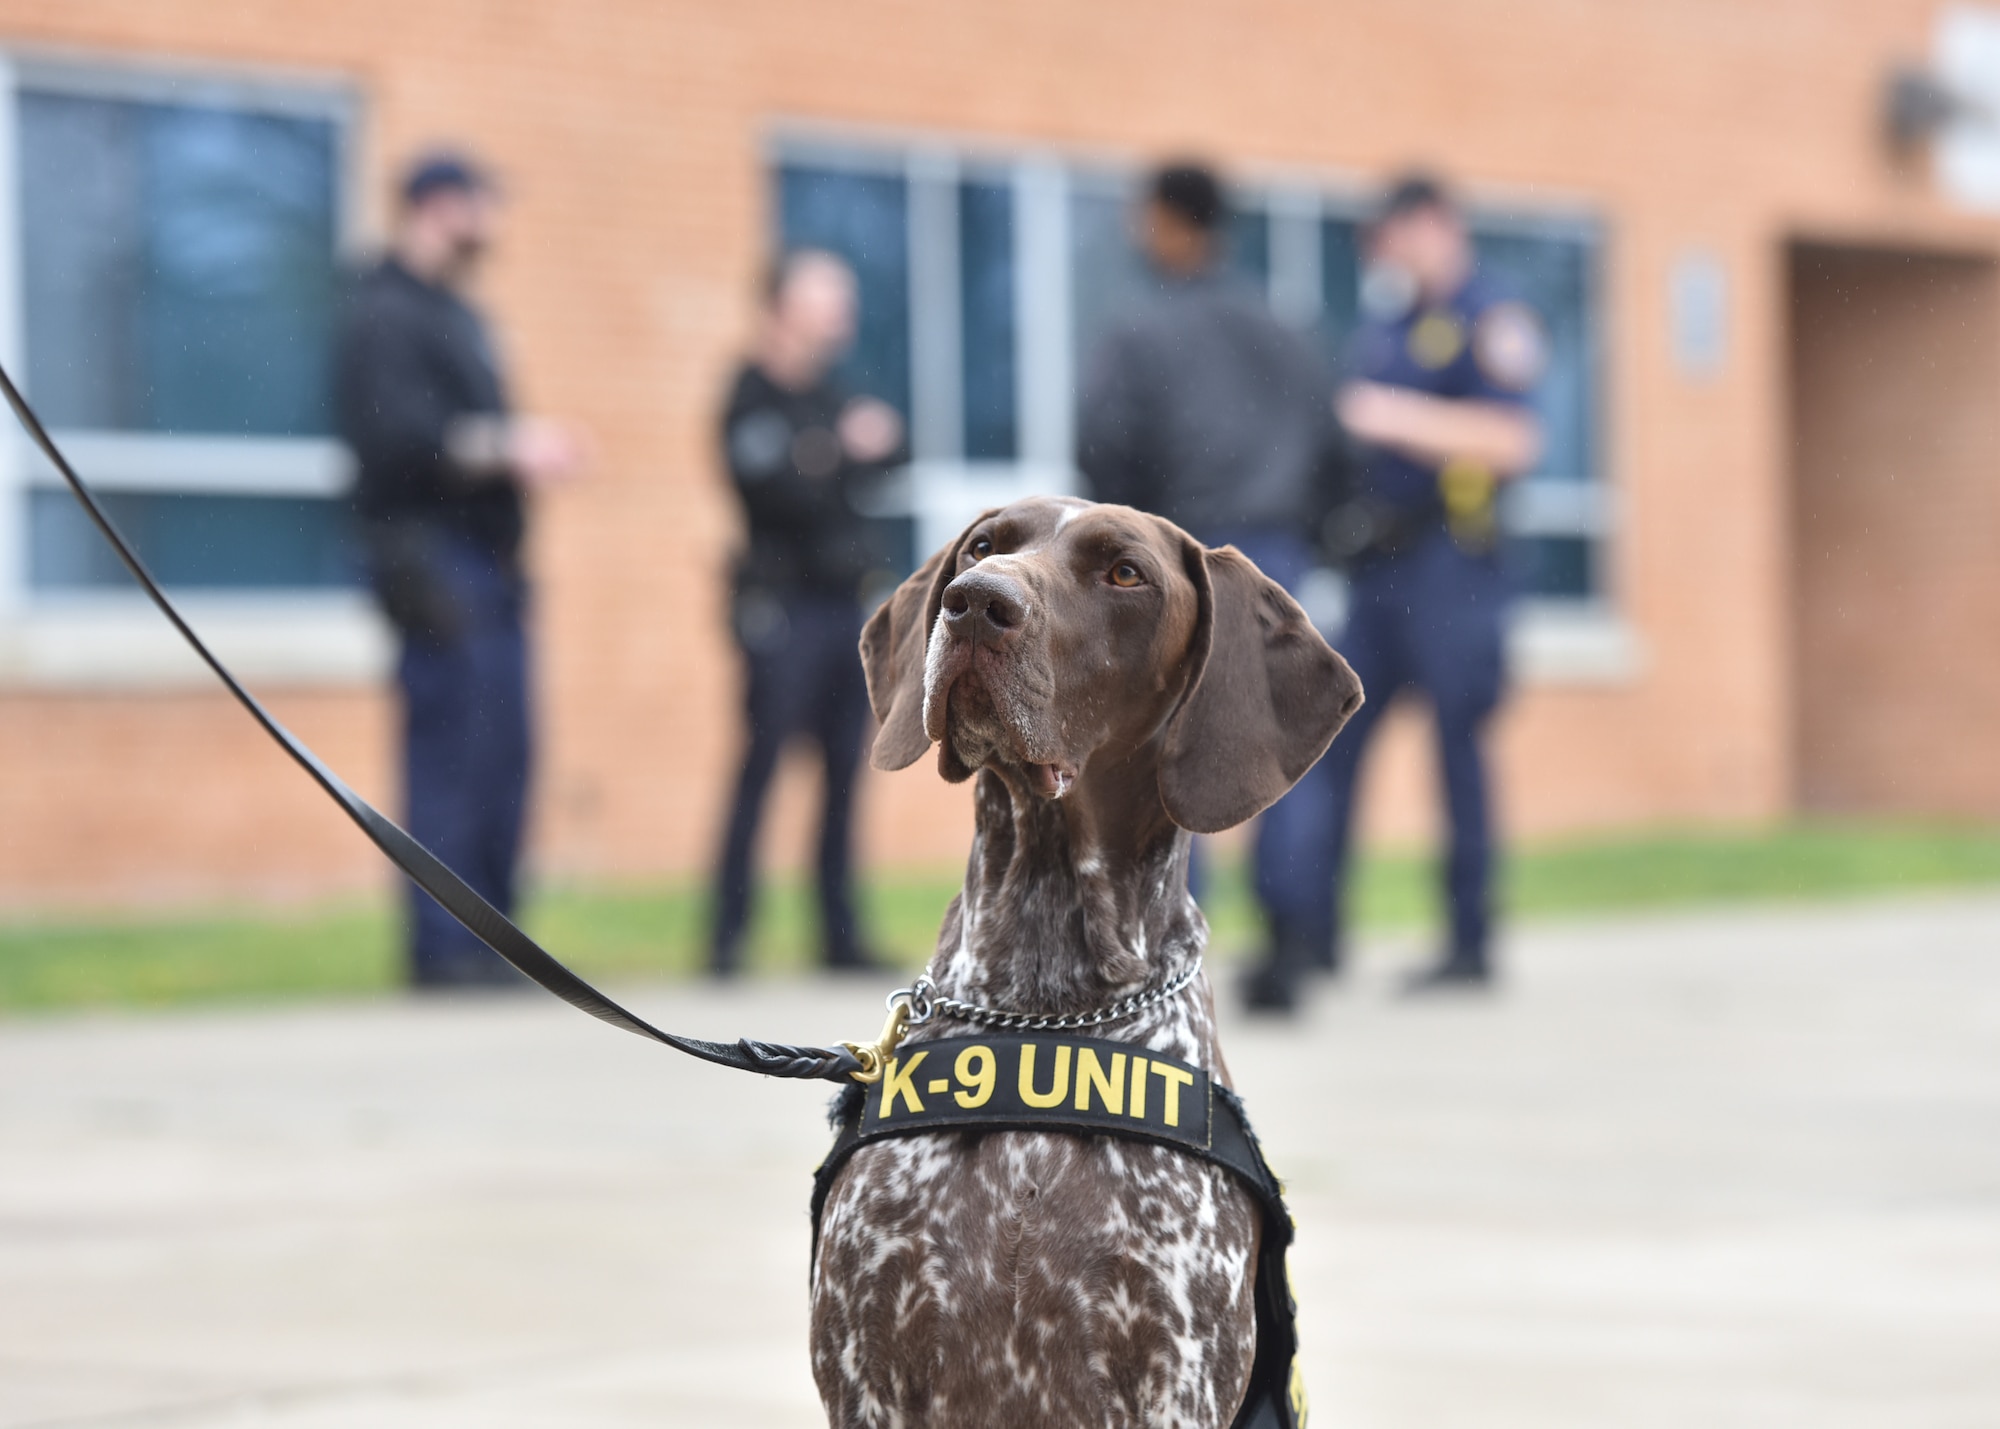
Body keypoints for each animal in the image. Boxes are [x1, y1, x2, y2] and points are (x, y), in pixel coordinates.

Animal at [808, 496, 1360, 1416]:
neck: (1043, 1004)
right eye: (984, 546)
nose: (973, 602)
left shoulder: (1176, 1372)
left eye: (1126, 573)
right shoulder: (864, 1365)